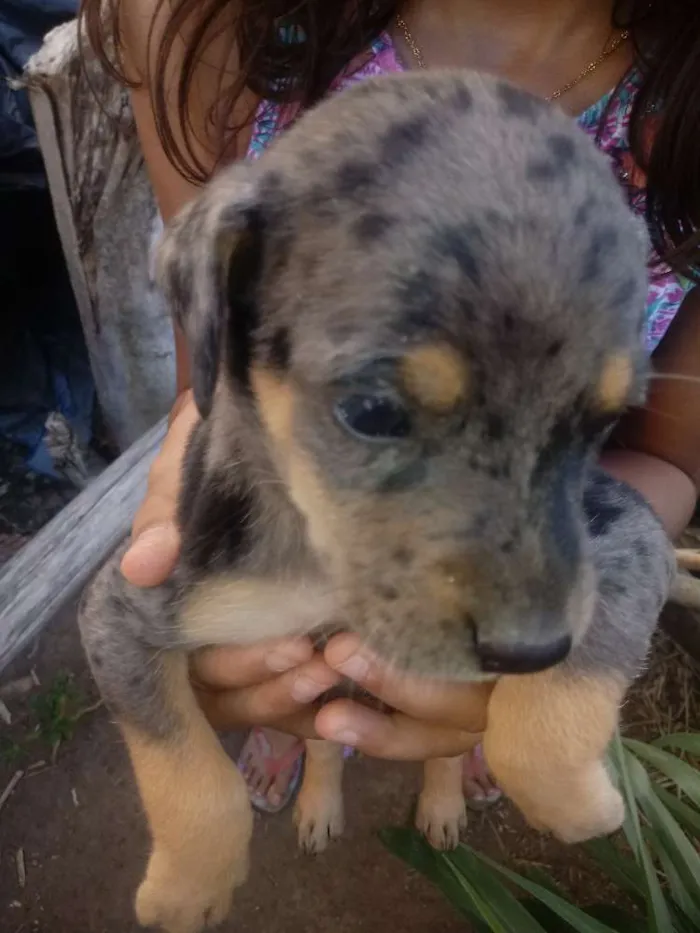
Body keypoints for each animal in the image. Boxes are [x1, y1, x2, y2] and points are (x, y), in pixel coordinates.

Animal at [79, 71, 676, 932]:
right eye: (371, 410)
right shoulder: (126, 608)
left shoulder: (631, 537)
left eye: (604, 422)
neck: (325, 570)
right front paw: (188, 889)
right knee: (326, 740)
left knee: (440, 752)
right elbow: (187, 770)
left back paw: (443, 808)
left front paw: (576, 801)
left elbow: (563, 693)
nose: (527, 650)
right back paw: (319, 807)